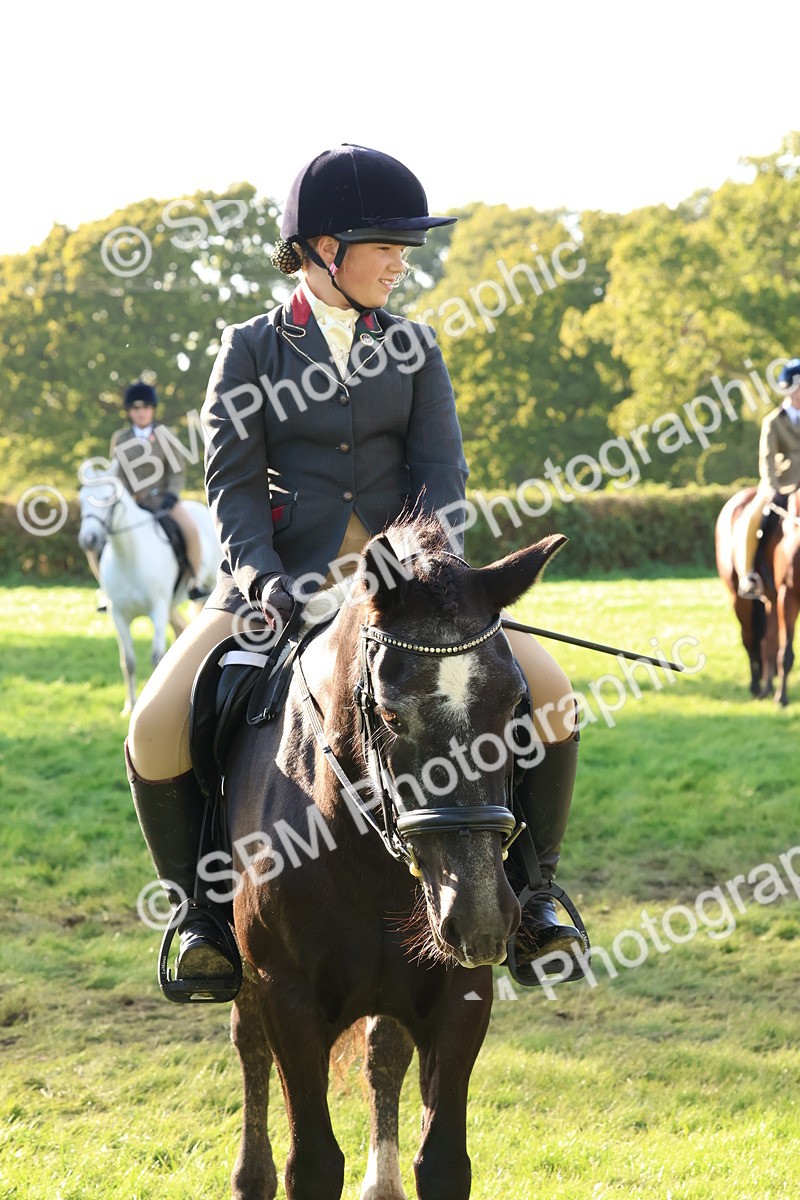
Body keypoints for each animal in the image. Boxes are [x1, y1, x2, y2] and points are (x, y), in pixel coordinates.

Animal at [77, 465, 222, 714]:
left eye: (108, 499)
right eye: (81, 499)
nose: (89, 539)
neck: (129, 556)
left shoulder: (158, 609)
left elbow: (156, 658)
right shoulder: (118, 615)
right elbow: (128, 661)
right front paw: (130, 706)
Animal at [219, 517, 564, 1200]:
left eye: (516, 706)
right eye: (389, 714)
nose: (481, 916)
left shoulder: (461, 992)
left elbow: (444, 1163)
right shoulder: (287, 996)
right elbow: (313, 1165)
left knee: (384, 1054)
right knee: (249, 1045)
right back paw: (251, 1176)